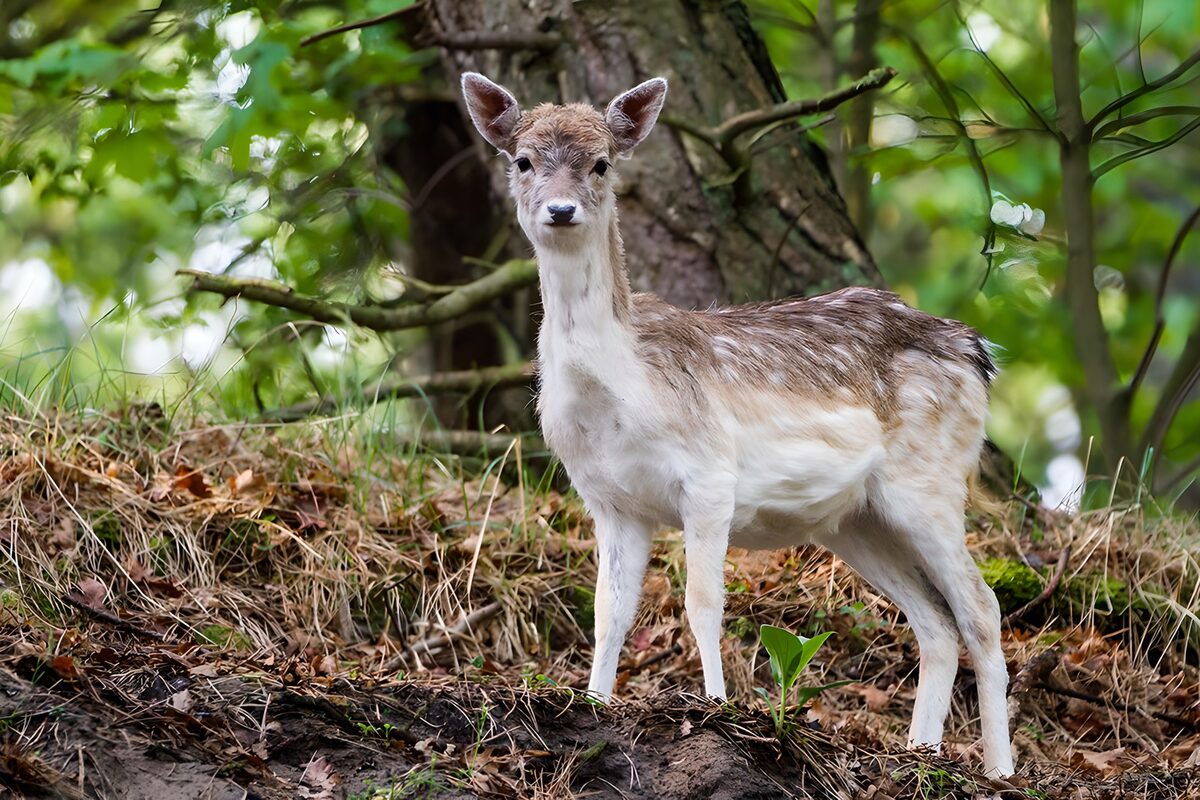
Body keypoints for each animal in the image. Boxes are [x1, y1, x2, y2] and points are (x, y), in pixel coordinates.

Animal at [461, 72, 1014, 777]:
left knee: (982, 608)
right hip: (857, 520)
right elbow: (609, 612)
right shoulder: (608, 499)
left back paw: (1000, 768)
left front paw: (717, 708)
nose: (560, 210)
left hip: (931, 481)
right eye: (524, 160)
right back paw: (920, 752)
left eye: (602, 163)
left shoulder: (707, 475)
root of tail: (978, 352)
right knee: (936, 623)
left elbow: (702, 602)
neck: (618, 392)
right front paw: (594, 703)